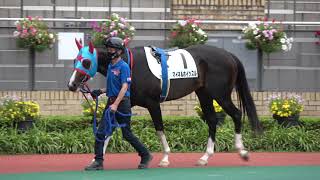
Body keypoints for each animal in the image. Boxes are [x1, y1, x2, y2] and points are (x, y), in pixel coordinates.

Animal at [68, 40, 262, 167]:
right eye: (75, 60)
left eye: (86, 61)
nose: (71, 85)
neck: (129, 63)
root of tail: (229, 55)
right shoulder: (121, 102)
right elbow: (107, 128)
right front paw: (96, 159)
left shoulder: (153, 104)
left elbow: (159, 129)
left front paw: (165, 158)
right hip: (204, 93)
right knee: (212, 120)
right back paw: (205, 157)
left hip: (220, 94)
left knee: (236, 114)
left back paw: (242, 151)